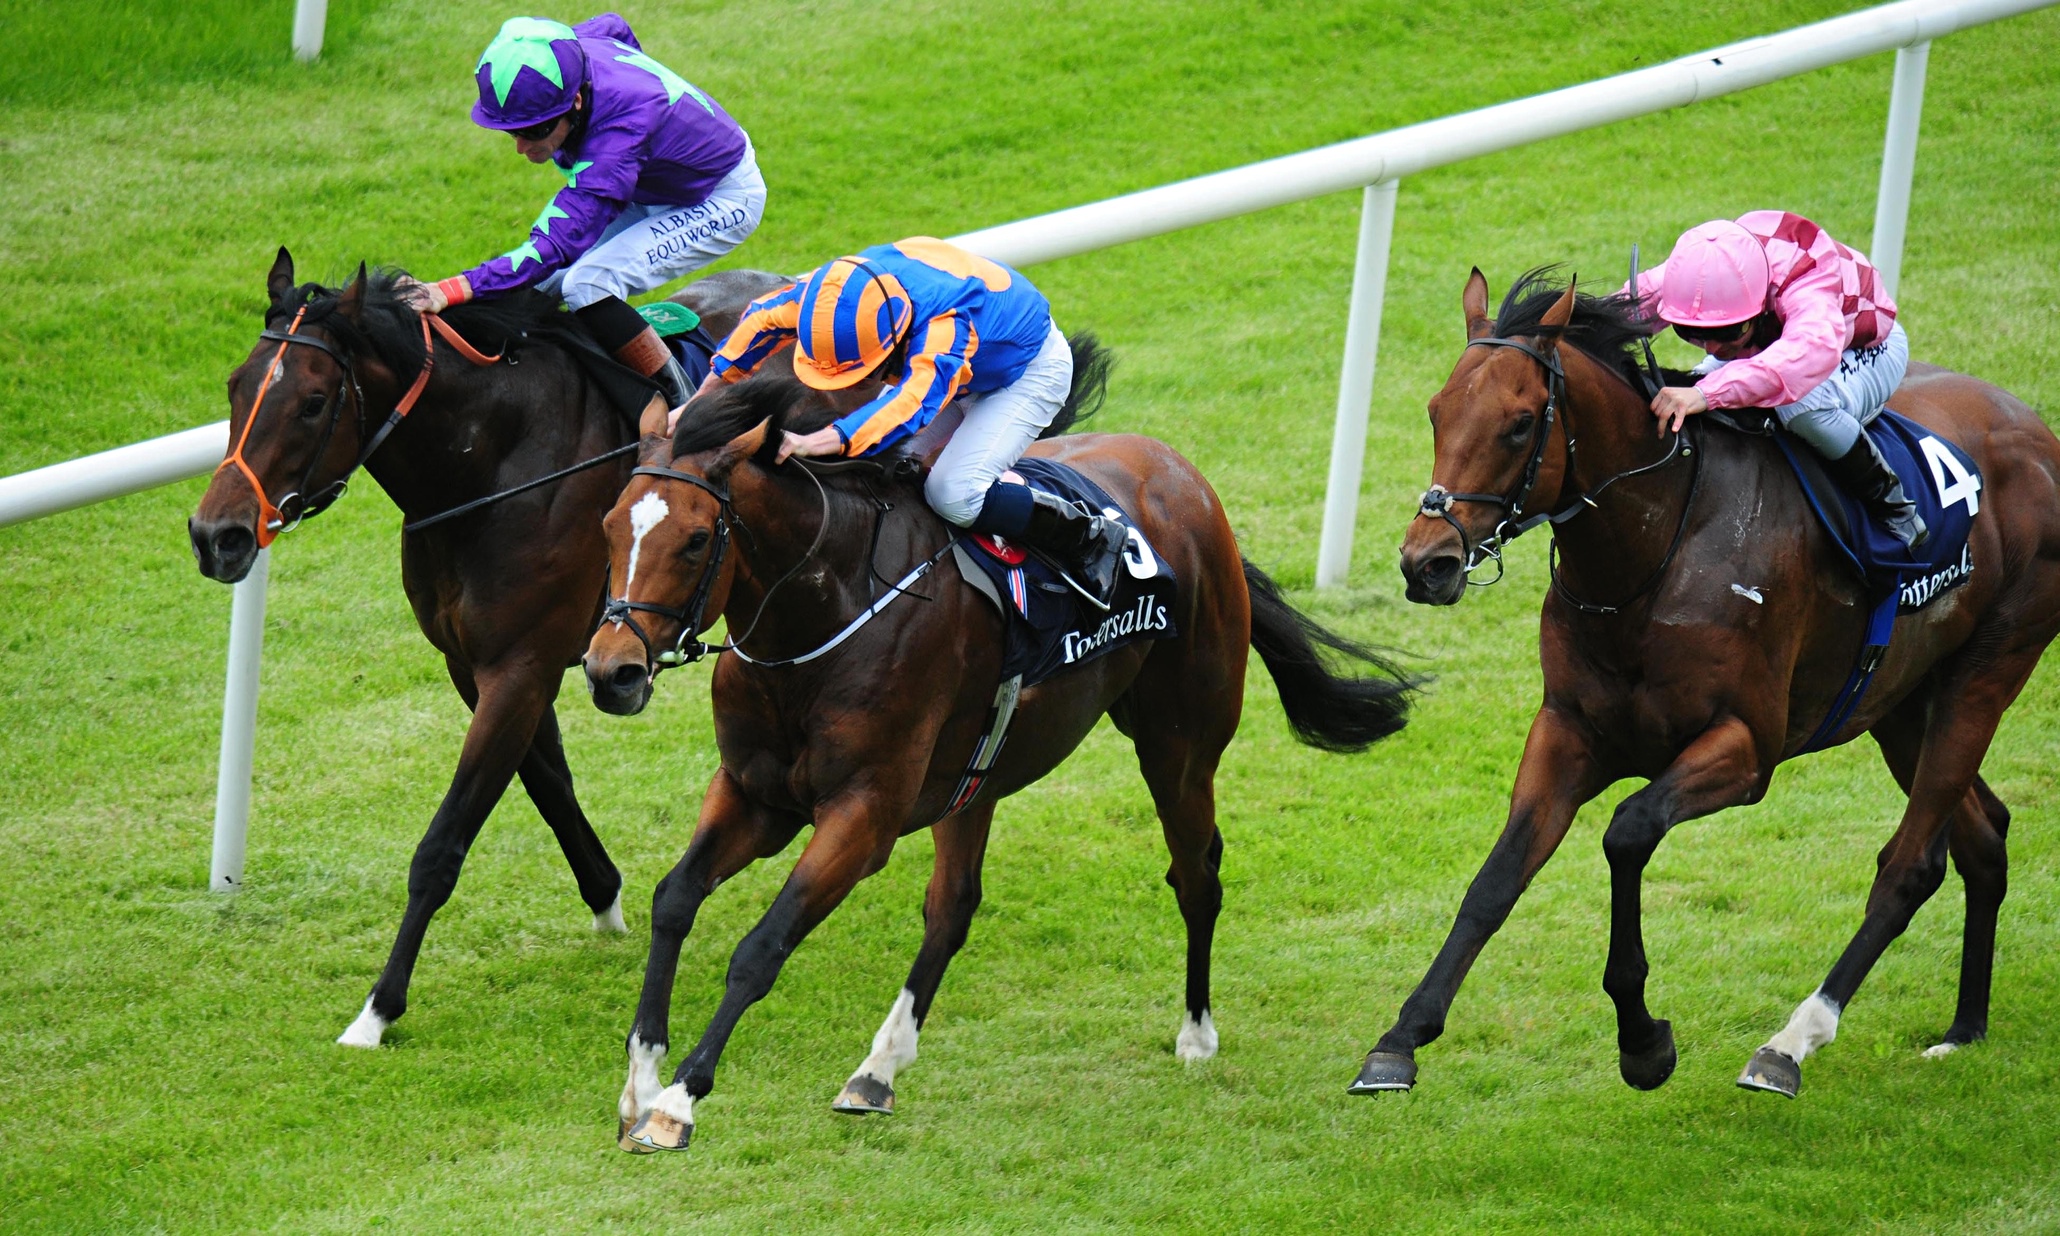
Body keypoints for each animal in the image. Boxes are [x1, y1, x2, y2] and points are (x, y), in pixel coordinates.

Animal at [189, 248, 782, 1042]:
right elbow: (549, 783)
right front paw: (606, 900)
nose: (216, 536)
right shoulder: (474, 665)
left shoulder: (520, 667)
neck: (490, 466)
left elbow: (443, 844)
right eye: (235, 385)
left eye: (313, 402)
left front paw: (376, 1010)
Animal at [580, 362, 1417, 1153]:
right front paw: (639, 1081)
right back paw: (876, 1072)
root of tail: (1184, 476)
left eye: (696, 539)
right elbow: (674, 899)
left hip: (1178, 741)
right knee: (953, 907)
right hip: (975, 776)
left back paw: (1197, 1033)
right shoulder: (755, 795)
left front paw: (679, 1102)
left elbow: (762, 946)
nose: (611, 672)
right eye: (611, 525)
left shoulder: (862, 815)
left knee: (1196, 876)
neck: (824, 616)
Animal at [1367, 265, 2060, 1095]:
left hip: (1986, 670)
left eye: (1520, 423)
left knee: (1910, 866)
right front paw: (1401, 1038)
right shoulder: (1568, 729)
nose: (1426, 563)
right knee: (1983, 835)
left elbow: (1628, 830)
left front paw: (1643, 1041)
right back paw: (1963, 1029)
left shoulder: (1745, 748)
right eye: (1436, 411)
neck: (1651, 554)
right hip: (1902, 704)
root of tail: (2039, 432)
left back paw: (1790, 1043)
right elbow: (1496, 879)